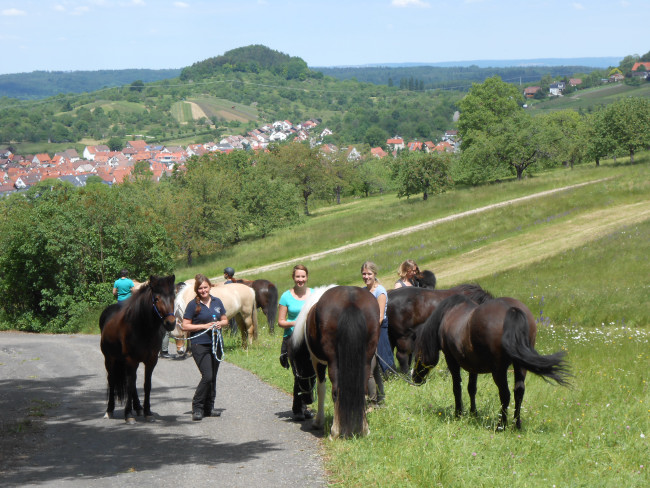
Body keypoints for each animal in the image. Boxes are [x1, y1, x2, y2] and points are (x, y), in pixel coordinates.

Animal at [99, 274, 177, 424]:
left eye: (173, 297)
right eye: (156, 299)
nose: (170, 323)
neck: (142, 328)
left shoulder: (151, 361)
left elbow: (146, 385)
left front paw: (147, 412)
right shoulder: (131, 360)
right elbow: (129, 386)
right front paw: (128, 415)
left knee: (132, 383)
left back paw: (138, 408)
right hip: (110, 359)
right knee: (112, 381)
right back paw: (109, 411)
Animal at [291, 285, 380, 439]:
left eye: (297, 367)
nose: (306, 400)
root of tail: (350, 301)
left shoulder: (316, 361)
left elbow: (321, 388)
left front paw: (318, 422)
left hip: (333, 363)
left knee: (336, 391)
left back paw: (335, 432)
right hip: (366, 360)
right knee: (362, 391)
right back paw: (364, 430)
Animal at [412, 293, 571, 429]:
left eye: (417, 353)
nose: (414, 378)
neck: (448, 314)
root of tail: (511, 309)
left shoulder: (451, 359)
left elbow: (457, 387)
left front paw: (459, 414)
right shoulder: (473, 366)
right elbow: (472, 388)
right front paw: (473, 413)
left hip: (499, 370)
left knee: (505, 394)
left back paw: (501, 426)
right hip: (519, 366)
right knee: (518, 391)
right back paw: (516, 425)